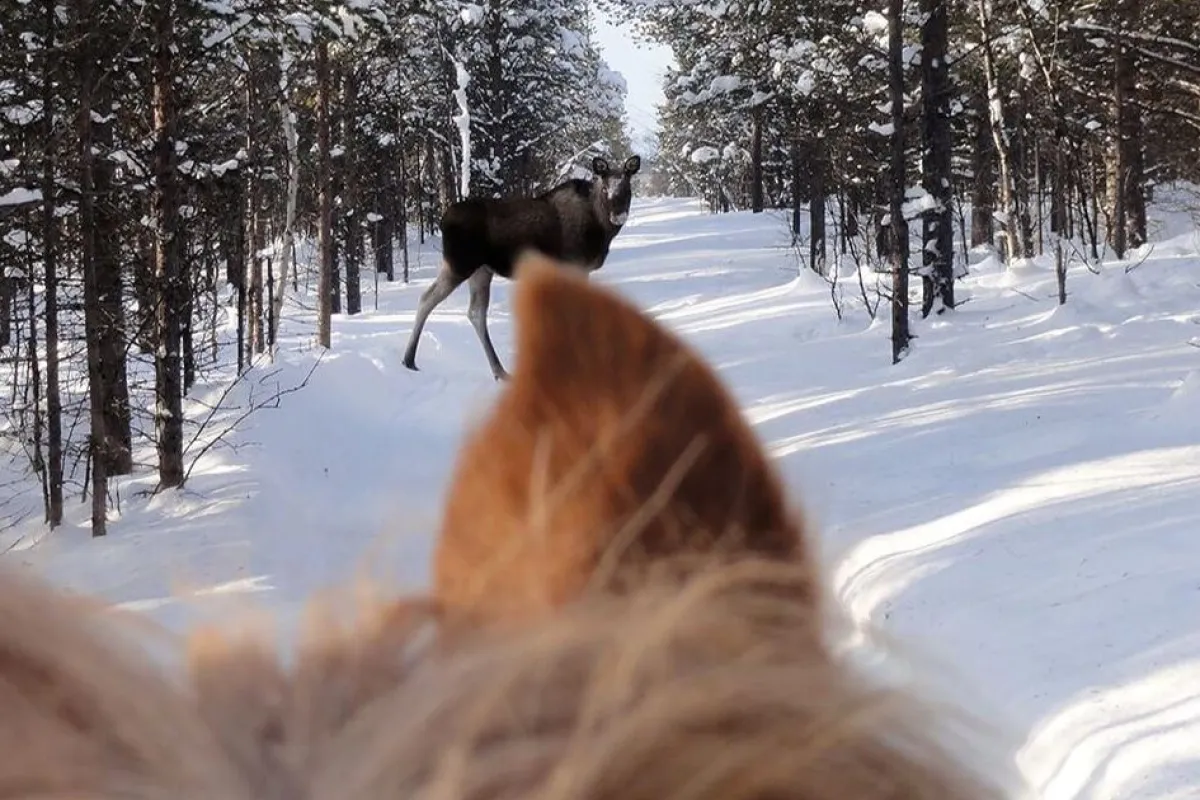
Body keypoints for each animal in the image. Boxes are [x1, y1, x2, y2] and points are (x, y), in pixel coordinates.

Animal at [402, 154, 642, 381]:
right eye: (605, 188)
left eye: (627, 188)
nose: (618, 215)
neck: (600, 229)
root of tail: (442, 221)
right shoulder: (575, 266)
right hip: (460, 264)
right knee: (427, 298)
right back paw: (408, 359)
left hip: (481, 270)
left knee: (476, 312)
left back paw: (500, 371)